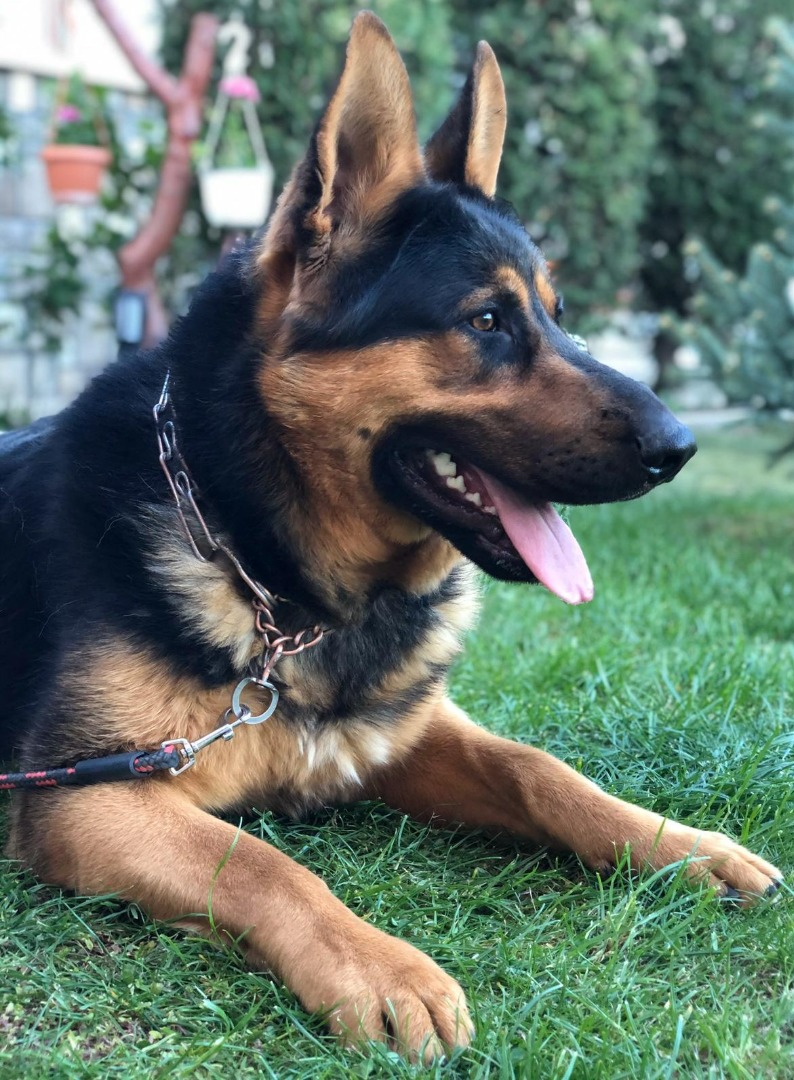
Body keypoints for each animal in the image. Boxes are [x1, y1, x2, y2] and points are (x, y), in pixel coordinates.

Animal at [1, 12, 781, 1062]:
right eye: (487, 320)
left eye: (557, 317)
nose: (681, 447)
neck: (276, 580)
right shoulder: (87, 796)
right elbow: (261, 864)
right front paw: (381, 967)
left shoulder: (405, 734)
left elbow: (541, 770)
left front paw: (679, 844)